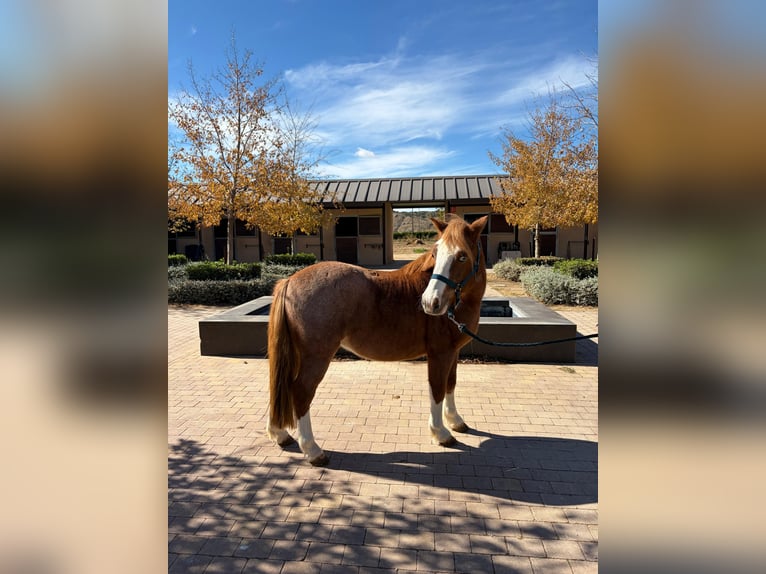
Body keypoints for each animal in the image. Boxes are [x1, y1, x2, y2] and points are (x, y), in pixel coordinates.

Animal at [266, 215, 488, 466]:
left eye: (462, 256)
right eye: (435, 253)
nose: (430, 302)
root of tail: (289, 280)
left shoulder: (453, 352)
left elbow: (451, 384)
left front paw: (455, 421)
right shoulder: (440, 354)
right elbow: (438, 388)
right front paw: (441, 433)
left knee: (282, 385)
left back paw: (280, 434)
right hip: (316, 357)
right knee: (301, 391)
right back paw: (313, 450)